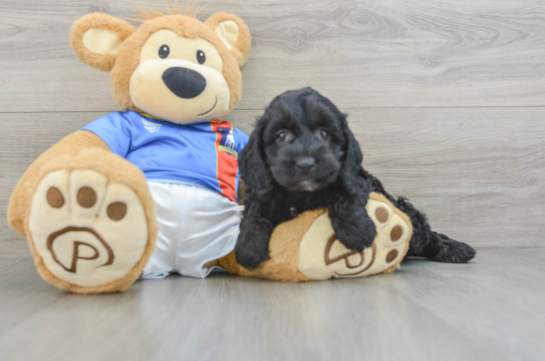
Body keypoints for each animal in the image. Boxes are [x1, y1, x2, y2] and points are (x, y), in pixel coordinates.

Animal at [236, 86, 474, 268]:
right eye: (281, 135)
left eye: (324, 133)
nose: (305, 164)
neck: (301, 194)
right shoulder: (263, 190)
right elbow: (255, 213)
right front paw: (248, 246)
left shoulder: (356, 182)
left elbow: (345, 197)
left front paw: (357, 232)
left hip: (409, 219)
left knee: (425, 235)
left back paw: (456, 249)